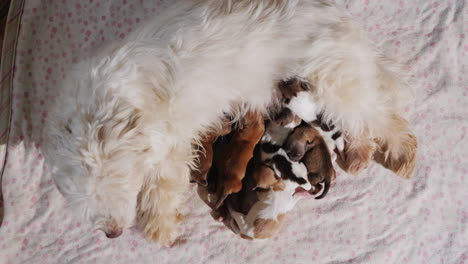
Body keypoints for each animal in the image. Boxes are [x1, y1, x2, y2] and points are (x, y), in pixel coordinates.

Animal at [44, 0, 416, 246]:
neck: (109, 102)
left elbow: (162, 185)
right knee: (359, 124)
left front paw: (158, 225)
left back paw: (401, 154)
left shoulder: (170, 143)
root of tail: (339, 19)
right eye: (80, 194)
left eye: (118, 181)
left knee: (383, 117)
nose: (112, 232)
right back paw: (359, 154)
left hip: (335, 81)